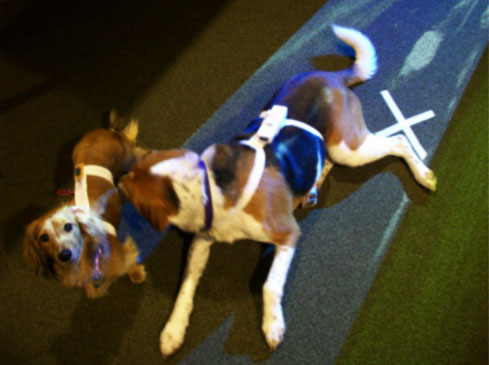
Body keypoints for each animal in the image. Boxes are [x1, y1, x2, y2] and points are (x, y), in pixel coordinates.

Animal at [22, 112, 148, 298]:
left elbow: (128, 261)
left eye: (68, 226)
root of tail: (107, 131)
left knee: (139, 152)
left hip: (128, 158)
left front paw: (136, 272)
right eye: (44, 237)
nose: (64, 255)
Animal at [117, 25, 434, 356]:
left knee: (398, 141)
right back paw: (312, 187)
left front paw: (272, 324)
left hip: (349, 148)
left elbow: (270, 285)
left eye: (132, 187)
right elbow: (185, 288)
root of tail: (332, 77)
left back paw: (423, 174)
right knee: (326, 159)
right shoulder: (202, 241)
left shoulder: (288, 234)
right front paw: (173, 330)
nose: (118, 178)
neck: (210, 187)